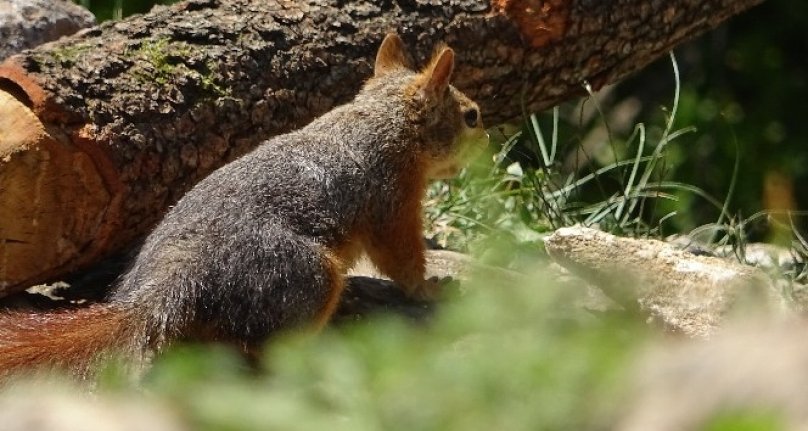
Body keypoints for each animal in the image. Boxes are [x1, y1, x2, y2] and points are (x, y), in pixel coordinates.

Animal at [0, 33, 486, 378]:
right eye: (472, 116)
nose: (487, 145)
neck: (383, 121)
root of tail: (175, 283)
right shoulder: (394, 199)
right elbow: (400, 257)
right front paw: (433, 289)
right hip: (306, 278)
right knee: (267, 355)